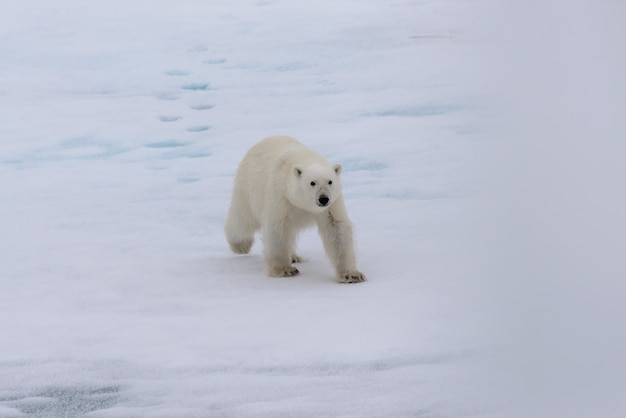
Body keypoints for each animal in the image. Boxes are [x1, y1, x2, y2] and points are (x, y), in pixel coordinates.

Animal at [224, 136, 364, 282]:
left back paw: (293, 256)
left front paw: (352, 275)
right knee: (242, 220)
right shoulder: (280, 195)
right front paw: (285, 270)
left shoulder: (332, 204)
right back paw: (240, 245)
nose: (323, 199)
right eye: (312, 182)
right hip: (247, 188)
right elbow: (277, 227)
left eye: (330, 181)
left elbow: (336, 227)